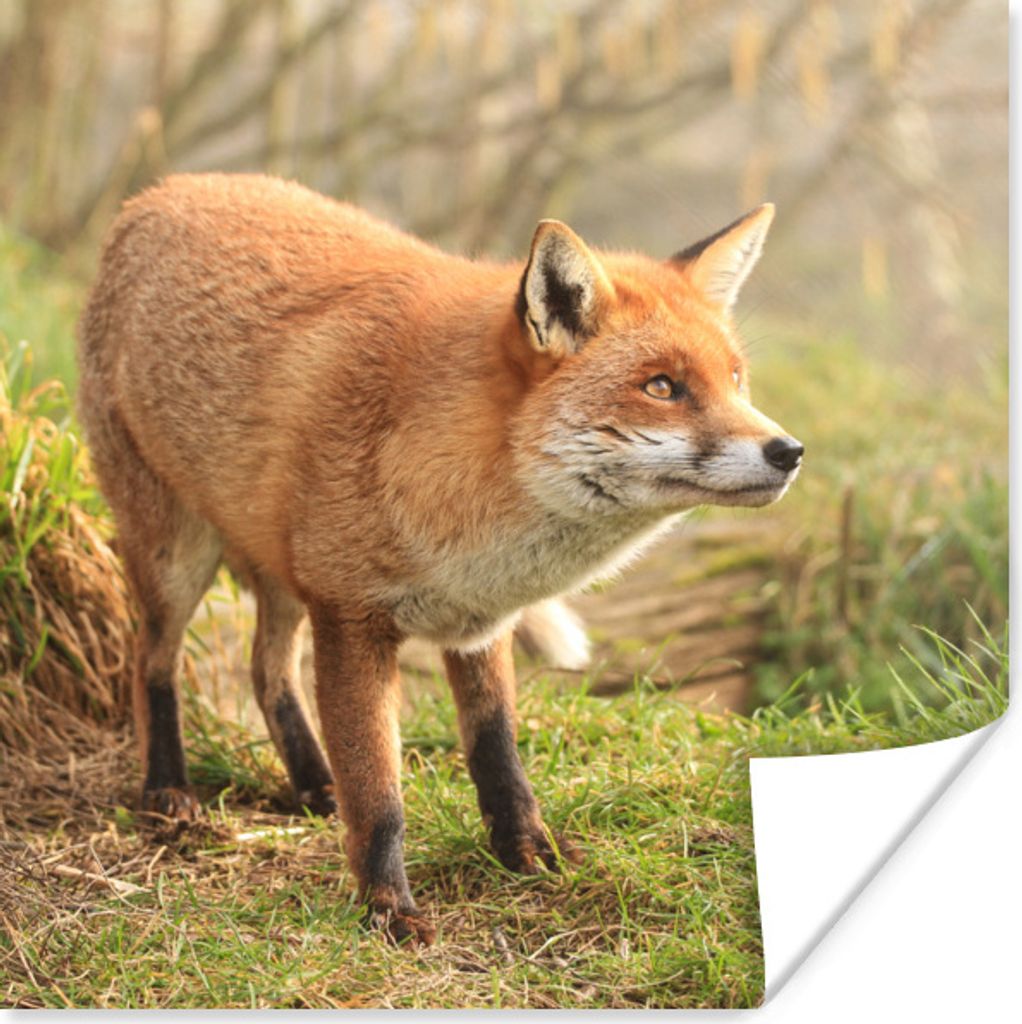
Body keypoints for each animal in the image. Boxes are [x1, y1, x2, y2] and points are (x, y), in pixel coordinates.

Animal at [77, 173, 802, 946]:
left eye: (736, 380)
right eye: (662, 386)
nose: (789, 452)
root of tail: (159, 192)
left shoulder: (479, 622)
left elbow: (497, 754)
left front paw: (531, 855)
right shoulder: (351, 619)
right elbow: (381, 793)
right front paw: (386, 907)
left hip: (281, 573)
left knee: (266, 669)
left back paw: (314, 783)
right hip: (175, 557)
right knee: (152, 662)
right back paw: (168, 791)